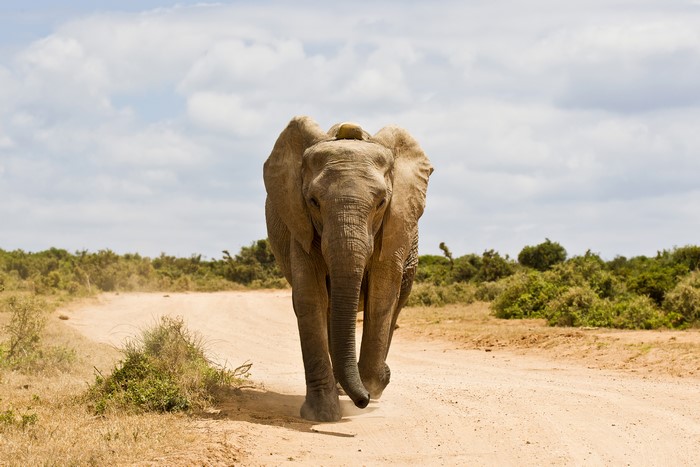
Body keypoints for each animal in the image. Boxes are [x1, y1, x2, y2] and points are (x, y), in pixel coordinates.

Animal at [263, 116, 433, 422]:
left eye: (381, 203)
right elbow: (310, 297)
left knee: (396, 303)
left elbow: (382, 295)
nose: (362, 401)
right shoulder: (300, 223)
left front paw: (375, 382)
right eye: (314, 202)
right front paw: (321, 415)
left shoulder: (394, 227)